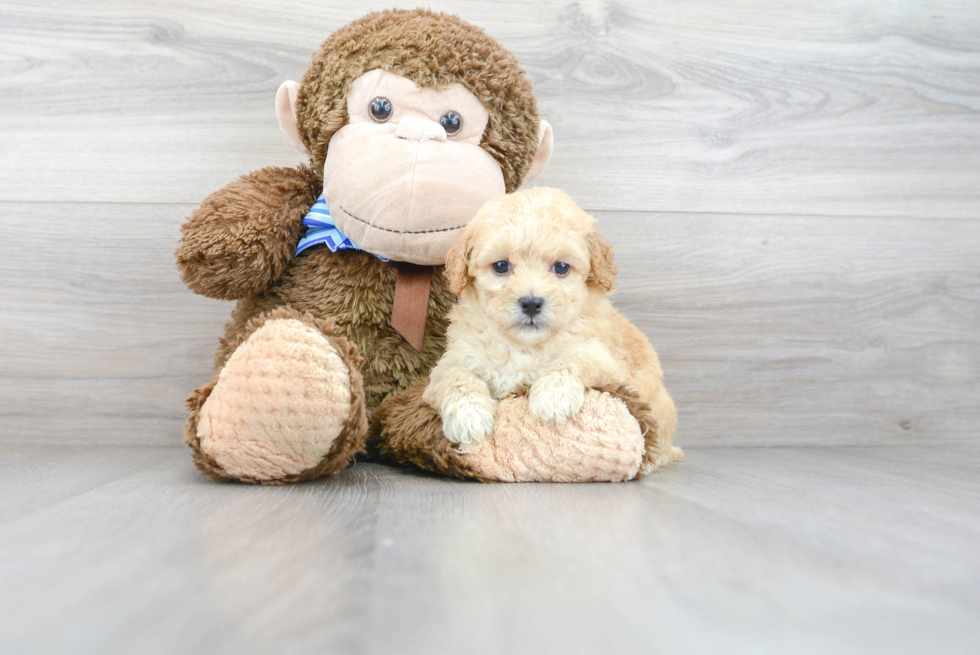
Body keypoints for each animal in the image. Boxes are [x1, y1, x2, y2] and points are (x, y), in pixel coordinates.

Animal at [424, 187, 684, 474]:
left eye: (561, 267)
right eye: (501, 266)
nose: (531, 303)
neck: (524, 346)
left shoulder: (605, 361)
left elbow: (572, 359)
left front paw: (553, 397)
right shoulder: (452, 361)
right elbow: (458, 377)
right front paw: (469, 416)